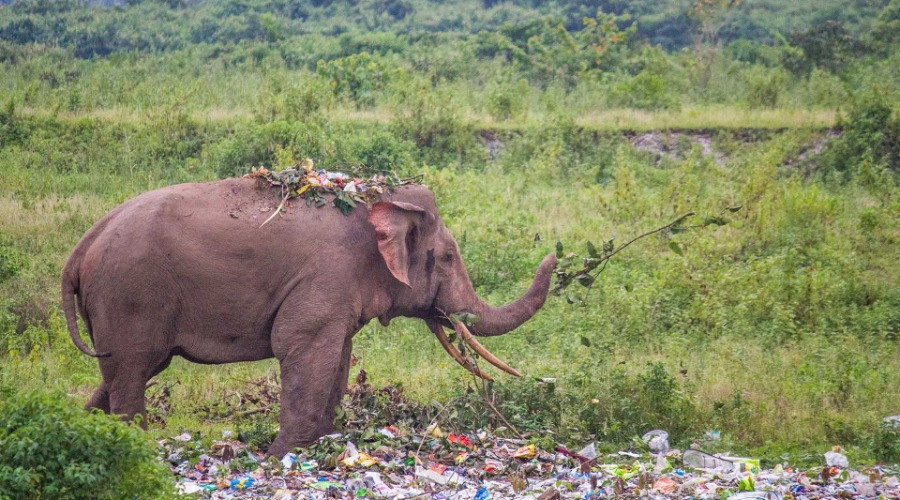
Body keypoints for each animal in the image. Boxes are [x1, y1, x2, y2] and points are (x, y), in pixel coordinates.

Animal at [61, 177, 557, 457]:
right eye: (449, 257)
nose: (556, 253)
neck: (379, 202)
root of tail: (81, 248)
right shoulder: (327, 275)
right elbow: (301, 345)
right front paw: (281, 457)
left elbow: (339, 355)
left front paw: (322, 445)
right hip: (131, 294)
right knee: (134, 368)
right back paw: (134, 446)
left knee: (123, 370)